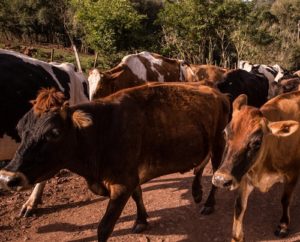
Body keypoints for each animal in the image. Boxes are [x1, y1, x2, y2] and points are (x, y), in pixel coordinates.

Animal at [0, 83, 230, 242]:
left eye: (54, 133)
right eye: (20, 129)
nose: (8, 176)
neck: (100, 132)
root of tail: (217, 92)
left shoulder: (122, 184)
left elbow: (104, 227)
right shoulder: (131, 175)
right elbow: (138, 195)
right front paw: (141, 220)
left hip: (219, 141)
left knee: (216, 174)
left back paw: (208, 203)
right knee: (200, 164)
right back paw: (196, 192)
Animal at [212, 91, 300, 241]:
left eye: (257, 142)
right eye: (225, 133)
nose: (220, 179)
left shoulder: (292, 174)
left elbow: (285, 199)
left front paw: (283, 226)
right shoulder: (244, 176)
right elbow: (239, 206)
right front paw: (236, 236)